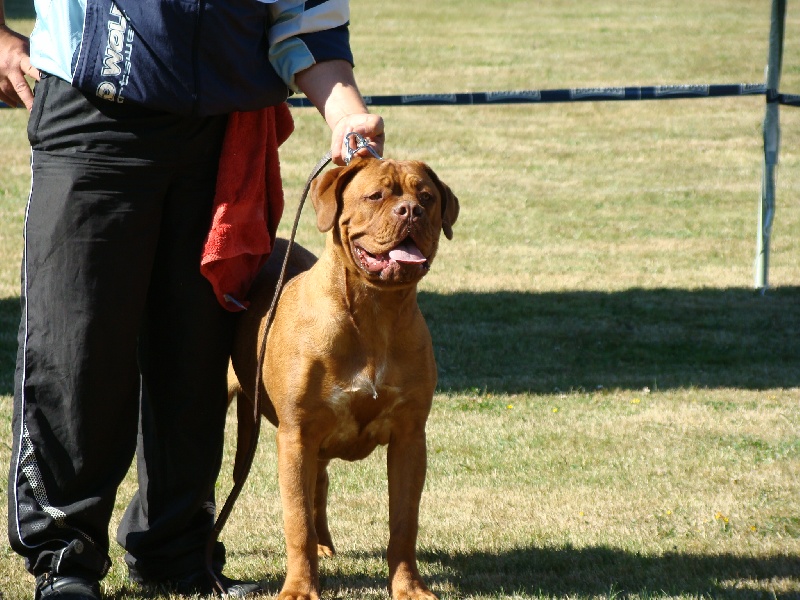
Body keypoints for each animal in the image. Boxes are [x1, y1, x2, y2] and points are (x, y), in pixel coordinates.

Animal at [228, 156, 460, 600]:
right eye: (376, 195)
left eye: (426, 197)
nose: (410, 211)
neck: (374, 311)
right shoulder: (296, 435)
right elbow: (296, 520)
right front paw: (299, 589)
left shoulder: (409, 437)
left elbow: (404, 523)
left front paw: (408, 587)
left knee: (319, 485)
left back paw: (325, 544)